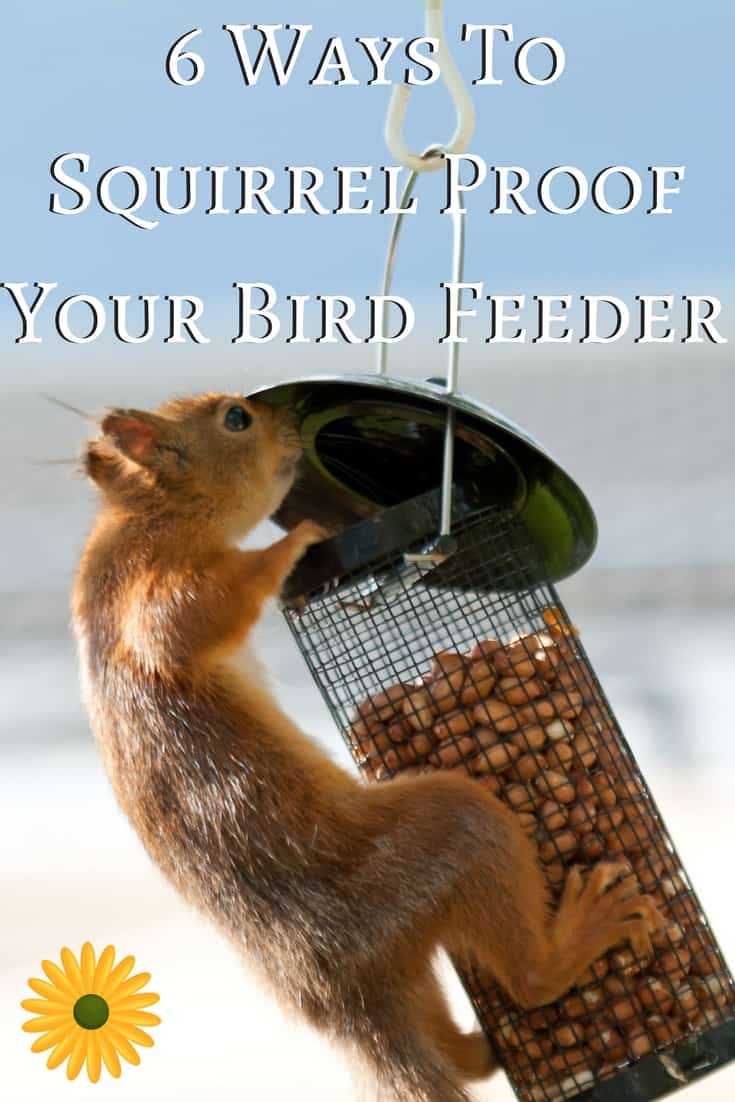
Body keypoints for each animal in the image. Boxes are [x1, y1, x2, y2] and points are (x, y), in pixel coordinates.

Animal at [72, 392, 664, 1102]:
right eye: (237, 419)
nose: (287, 421)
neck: (138, 521)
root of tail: (346, 1000)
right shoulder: (143, 597)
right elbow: (184, 618)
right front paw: (296, 540)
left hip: (420, 970)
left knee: (454, 1045)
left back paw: (480, 1044)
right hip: (448, 838)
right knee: (529, 978)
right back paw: (582, 932)